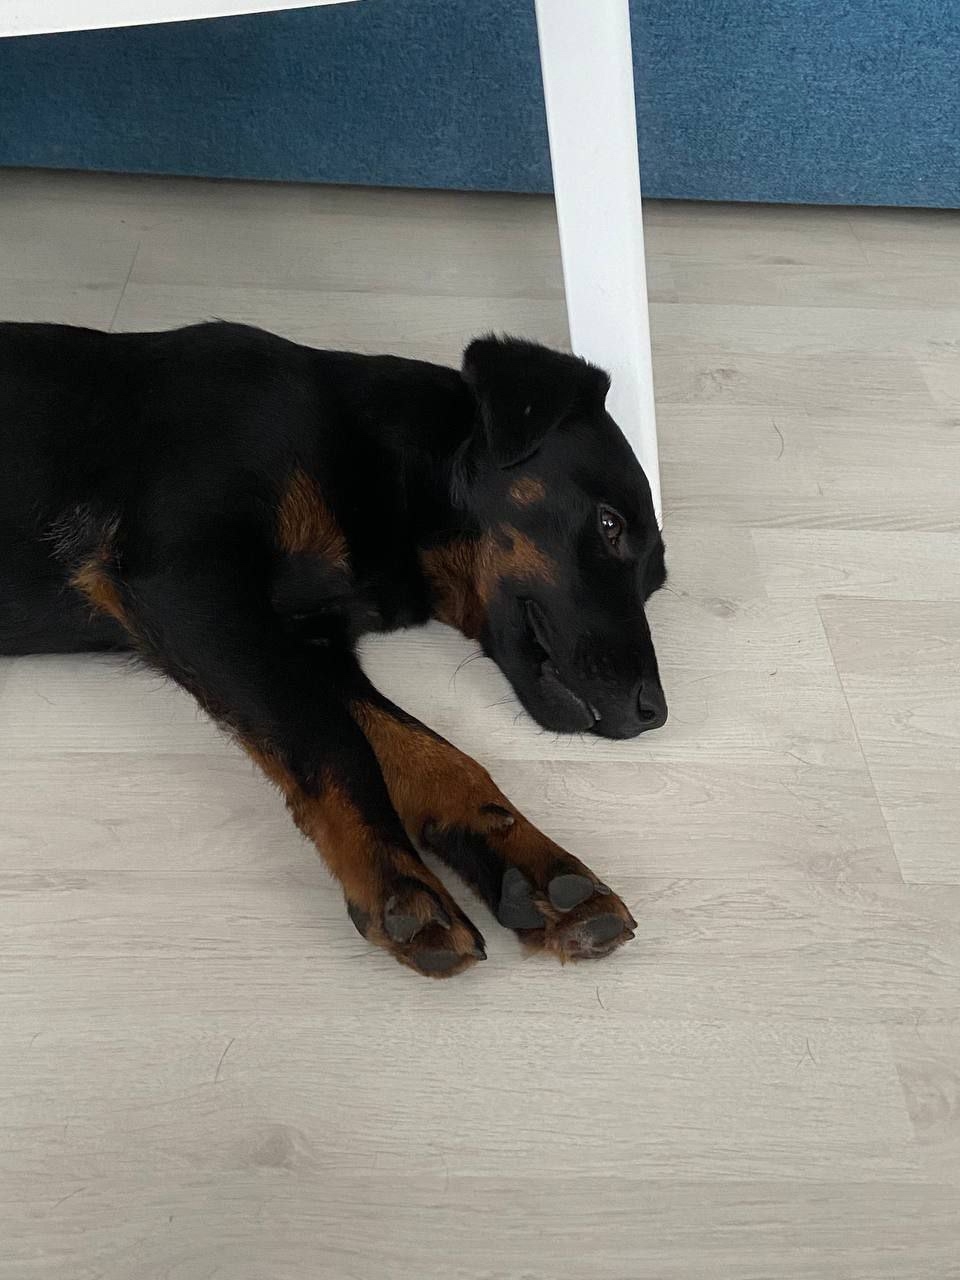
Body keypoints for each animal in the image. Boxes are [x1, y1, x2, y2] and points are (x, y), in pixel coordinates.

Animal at [0, 322, 667, 977]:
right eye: (609, 525)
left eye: (655, 583)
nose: (654, 713)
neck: (365, 459)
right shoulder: (184, 581)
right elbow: (335, 741)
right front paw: (395, 879)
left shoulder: (308, 641)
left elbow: (434, 755)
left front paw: (533, 866)